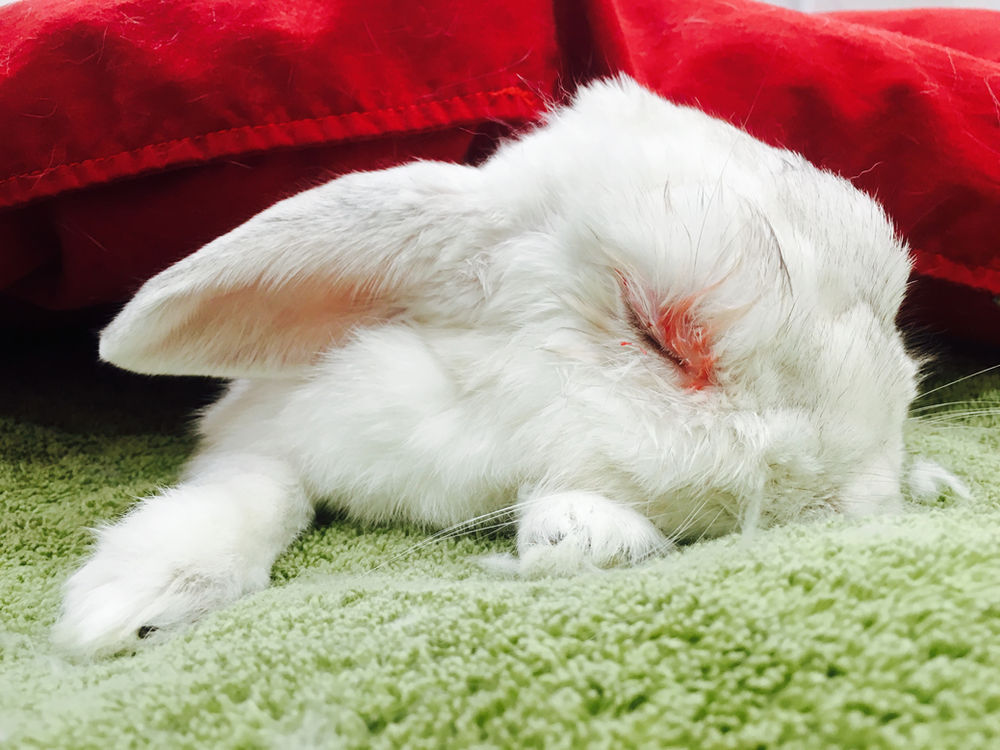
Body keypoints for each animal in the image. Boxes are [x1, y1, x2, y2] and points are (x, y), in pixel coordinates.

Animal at [53, 76, 965, 657]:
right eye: (658, 334)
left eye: (892, 304)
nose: (860, 501)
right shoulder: (269, 427)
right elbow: (258, 486)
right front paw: (130, 601)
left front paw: (580, 532)